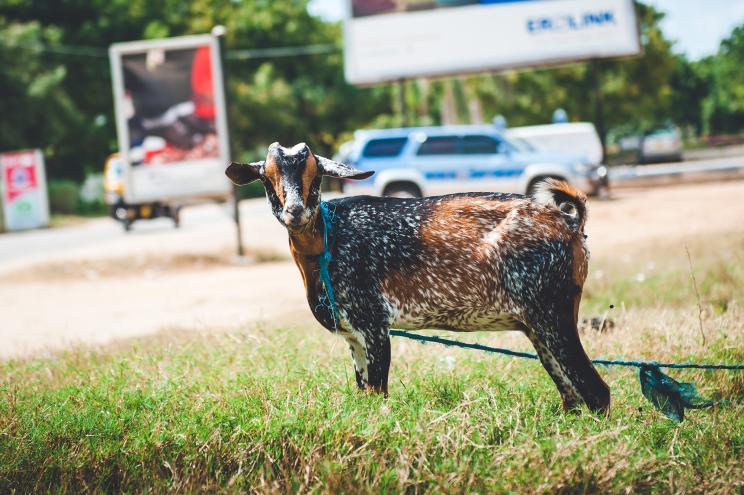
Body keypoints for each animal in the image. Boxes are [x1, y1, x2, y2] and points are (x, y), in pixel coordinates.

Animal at [225, 142, 612, 414]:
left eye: (315, 172)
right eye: (267, 176)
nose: (295, 211)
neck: (329, 238)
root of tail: (569, 222)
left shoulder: (374, 324)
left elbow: (378, 396)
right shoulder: (353, 336)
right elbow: (363, 397)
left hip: (552, 311)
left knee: (596, 391)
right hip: (537, 324)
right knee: (571, 395)